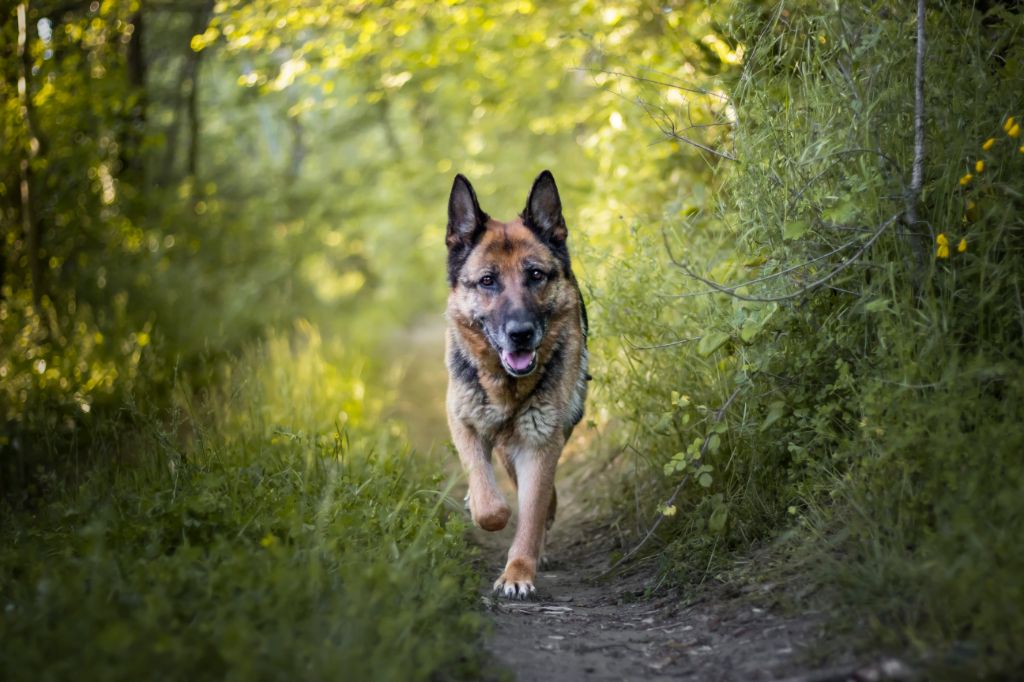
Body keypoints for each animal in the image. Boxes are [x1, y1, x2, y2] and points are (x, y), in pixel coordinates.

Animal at [444, 169, 589, 593]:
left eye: (535, 275)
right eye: (487, 281)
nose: (520, 334)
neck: (505, 386)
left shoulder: (540, 443)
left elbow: (532, 512)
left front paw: (518, 572)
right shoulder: (462, 422)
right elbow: (491, 504)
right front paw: (481, 506)